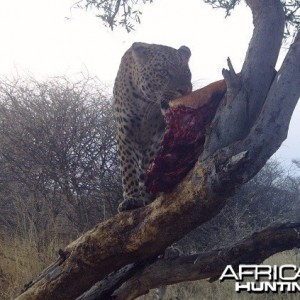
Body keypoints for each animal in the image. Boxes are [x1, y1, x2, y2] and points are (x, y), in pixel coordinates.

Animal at [112, 42, 192, 212]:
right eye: (163, 72)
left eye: (187, 72)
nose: (185, 90)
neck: (146, 104)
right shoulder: (125, 131)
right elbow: (128, 166)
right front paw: (131, 199)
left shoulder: (158, 136)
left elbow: (150, 161)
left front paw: (148, 194)